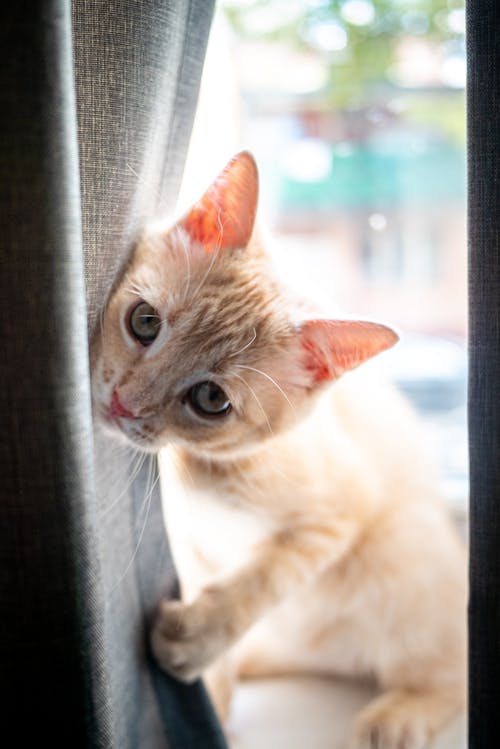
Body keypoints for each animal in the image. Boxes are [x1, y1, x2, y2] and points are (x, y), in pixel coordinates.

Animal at [92, 152, 466, 748]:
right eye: (144, 321)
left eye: (211, 400)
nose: (123, 404)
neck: (213, 470)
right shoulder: (193, 554)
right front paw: (213, 699)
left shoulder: (337, 514)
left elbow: (263, 580)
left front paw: (196, 641)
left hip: (408, 560)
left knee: (448, 672)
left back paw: (400, 715)